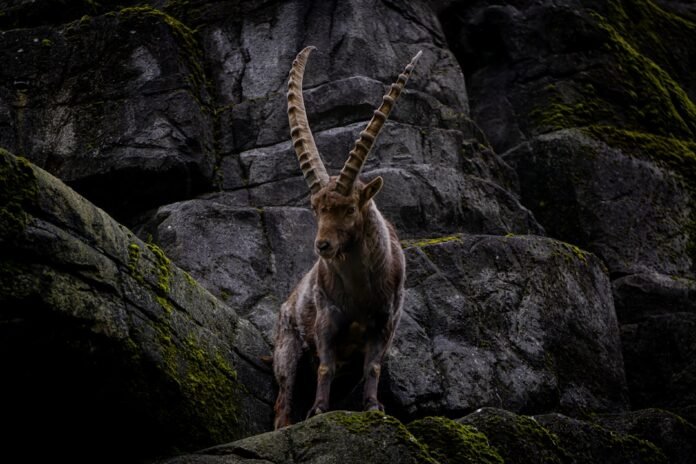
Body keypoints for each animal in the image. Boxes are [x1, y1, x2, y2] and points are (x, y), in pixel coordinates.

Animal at [272, 46, 421, 429]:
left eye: (350, 208)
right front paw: (318, 411)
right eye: (316, 208)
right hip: (287, 348)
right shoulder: (326, 320)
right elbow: (325, 365)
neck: (360, 292)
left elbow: (373, 367)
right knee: (283, 401)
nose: (322, 246)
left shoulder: (385, 323)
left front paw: (373, 407)